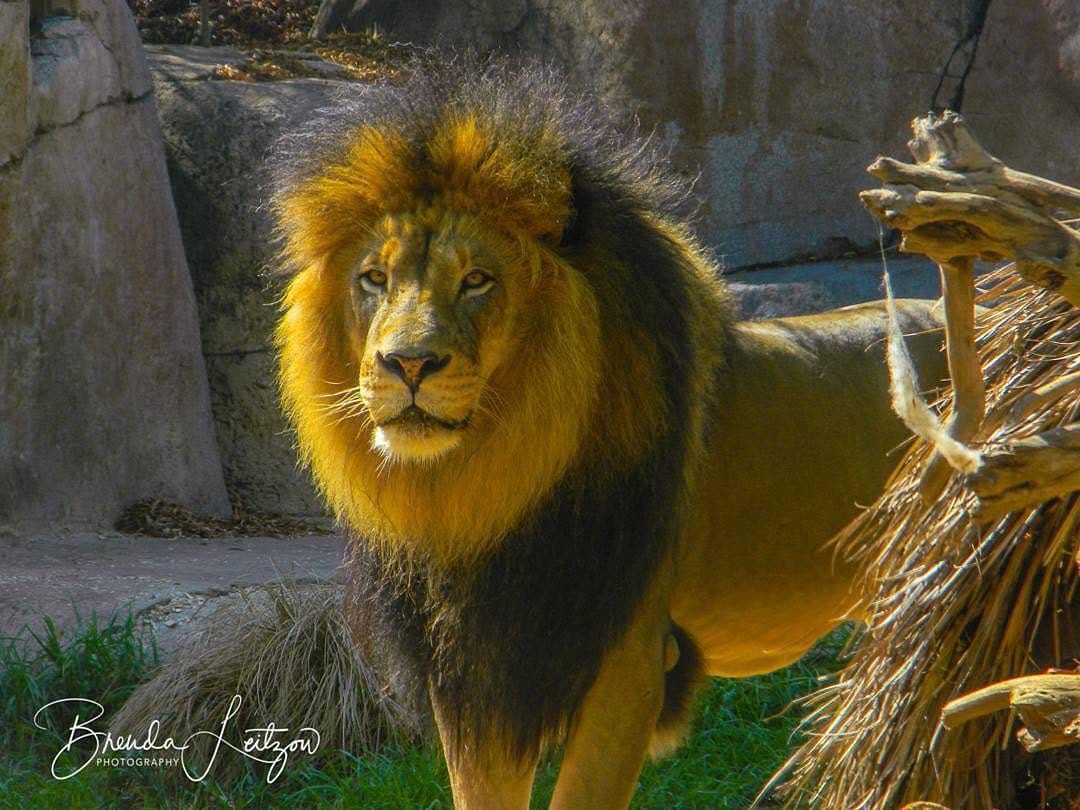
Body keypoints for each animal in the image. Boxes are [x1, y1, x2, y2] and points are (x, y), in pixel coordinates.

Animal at [271, 60, 948, 808]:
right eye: (374, 279)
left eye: (477, 280)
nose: (407, 363)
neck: (479, 489)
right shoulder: (475, 673)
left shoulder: (628, 664)